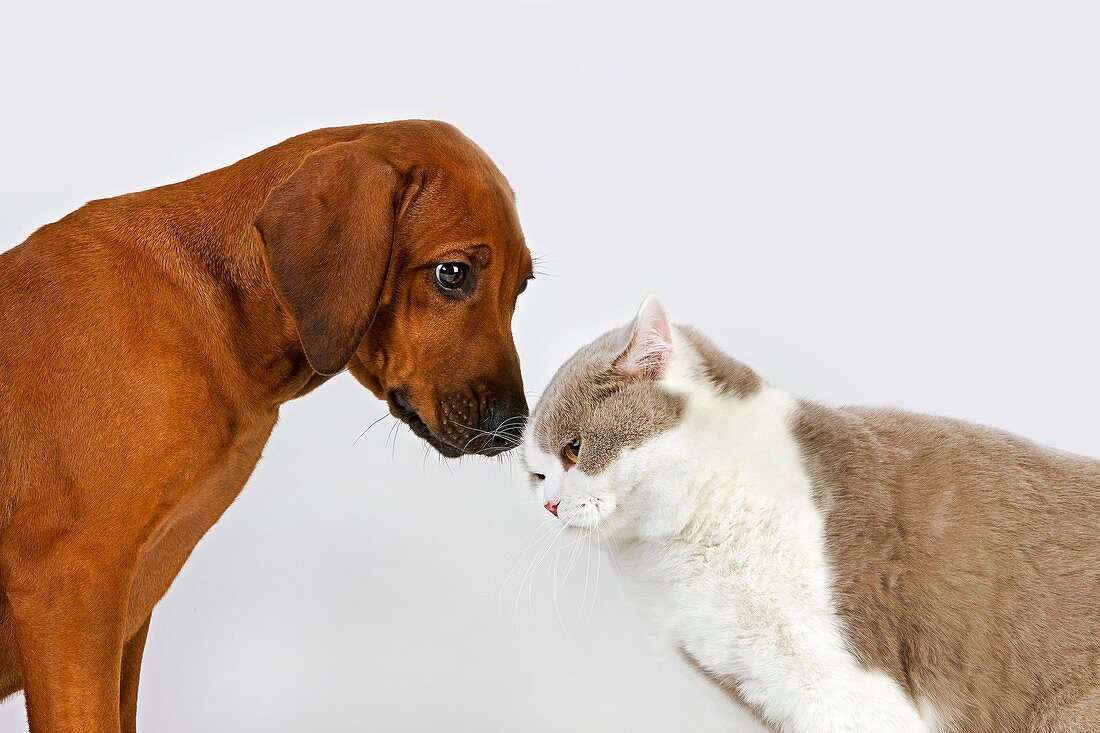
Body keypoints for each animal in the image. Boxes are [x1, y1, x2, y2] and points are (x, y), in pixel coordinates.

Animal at [0, 121, 532, 730]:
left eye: (521, 288)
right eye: (451, 273)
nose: (515, 427)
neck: (220, 305)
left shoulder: (126, 618)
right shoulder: (68, 585)